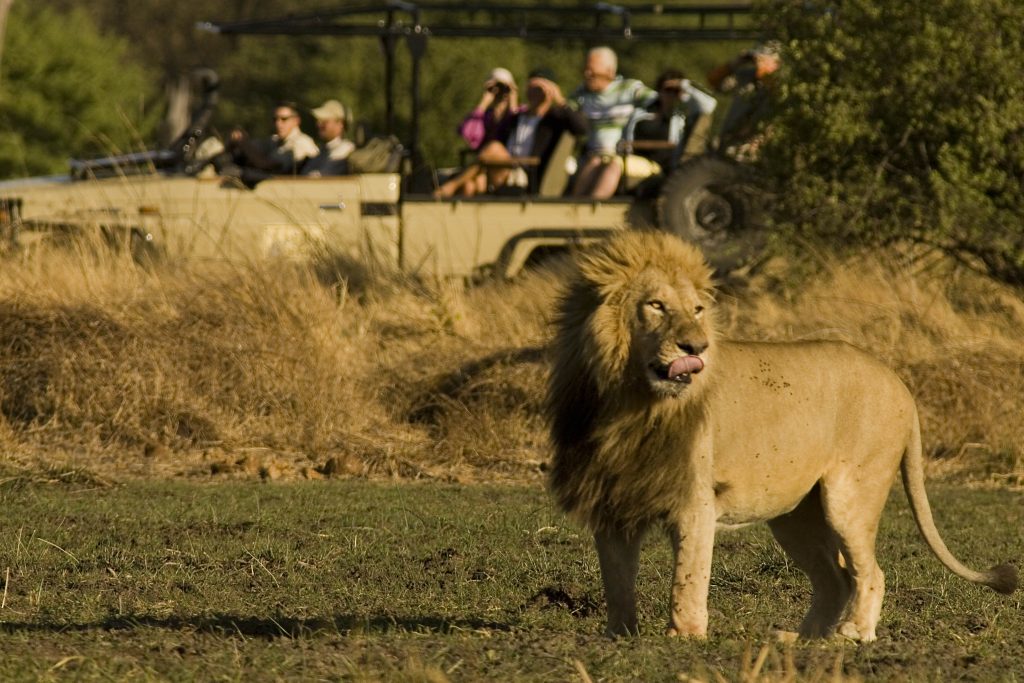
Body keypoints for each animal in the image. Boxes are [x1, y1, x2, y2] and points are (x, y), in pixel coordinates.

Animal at [548, 229, 1011, 643]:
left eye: (697, 309)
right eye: (656, 306)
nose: (695, 348)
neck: (628, 402)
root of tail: (899, 383)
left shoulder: (695, 500)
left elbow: (688, 576)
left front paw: (684, 636)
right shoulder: (611, 500)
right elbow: (616, 580)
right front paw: (618, 635)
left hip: (850, 496)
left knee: (870, 573)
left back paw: (852, 634)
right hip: (796, 515)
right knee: (836, 578)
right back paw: (800, 639)